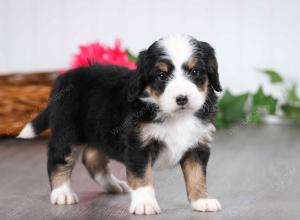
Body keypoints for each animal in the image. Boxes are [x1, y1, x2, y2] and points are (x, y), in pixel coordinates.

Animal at [17, 34, 221, 215]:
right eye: (162, 75)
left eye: (195, 71)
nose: (182, 99)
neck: (176, 117)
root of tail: (63, 78)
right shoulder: (138, 146)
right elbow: (142, 177)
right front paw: (145, 204)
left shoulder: (197, 146)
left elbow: (197, 175)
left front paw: (202, 200)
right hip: (67, 132)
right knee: (58, 160)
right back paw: (62, 193)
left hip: (98, 131)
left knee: (91, 158)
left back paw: (113, 185)